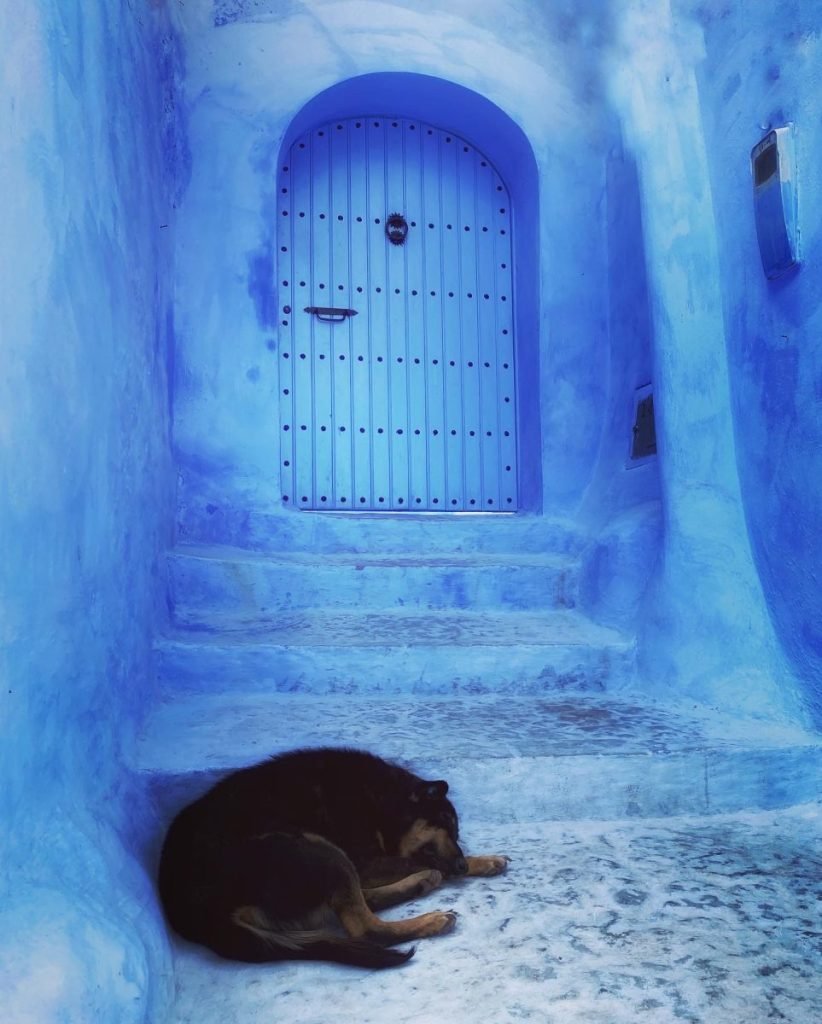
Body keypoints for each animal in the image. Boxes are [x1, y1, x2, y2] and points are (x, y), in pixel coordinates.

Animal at [158, 745, 507, 966]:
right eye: (447, 824)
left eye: (456, 830)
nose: (461, 865)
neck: (382, 801)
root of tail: (198, 917)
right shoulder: (367, 863)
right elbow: (423, 859)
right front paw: (473, 863)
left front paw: (483, 861)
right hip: (313, 847)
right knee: (366, 928)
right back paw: (431, 917)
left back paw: (420, 884)